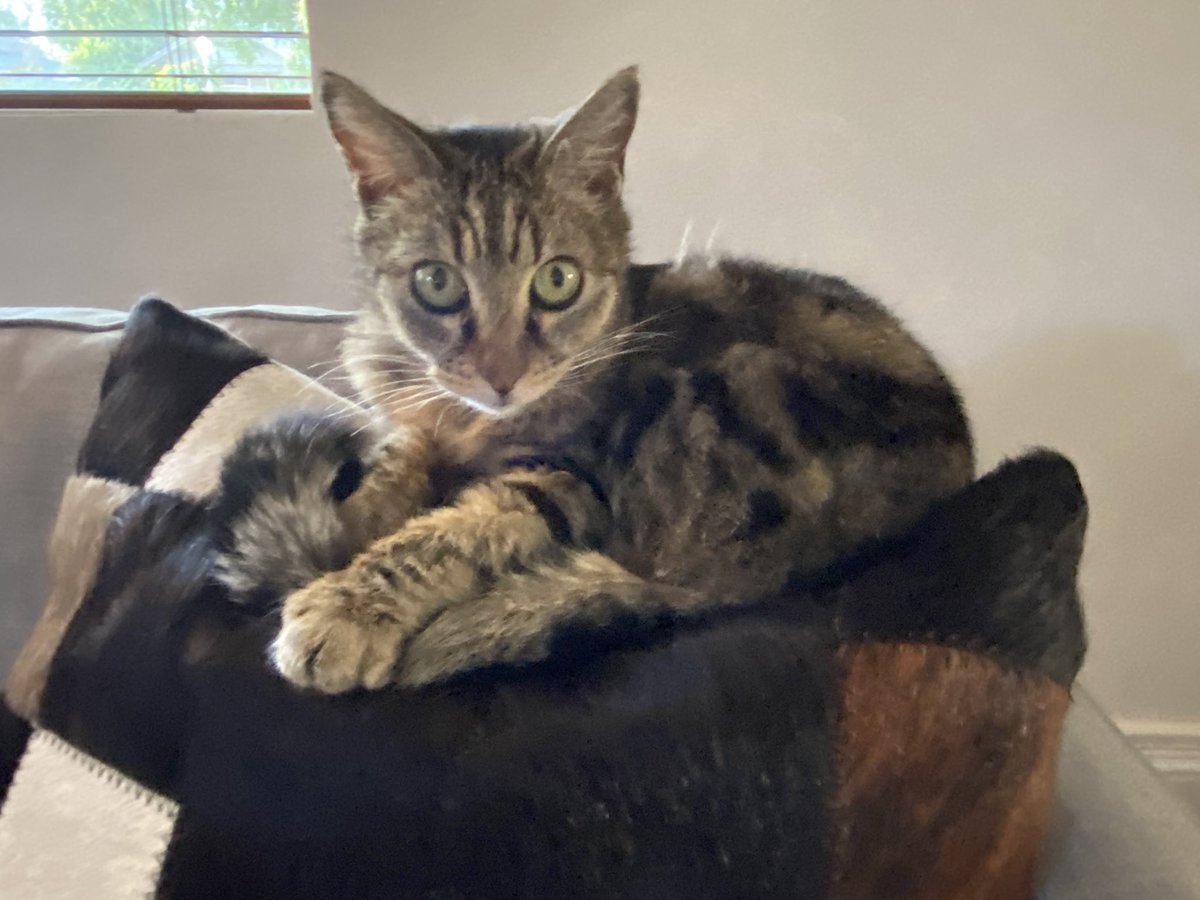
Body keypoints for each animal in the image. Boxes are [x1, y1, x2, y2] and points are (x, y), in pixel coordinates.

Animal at [214, 67, 974, 694]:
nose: (501, 377)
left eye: (557, 280)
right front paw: (361, 516)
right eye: (436, 282)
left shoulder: (569, 478)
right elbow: (397, 464)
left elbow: (453, 531)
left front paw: (347, 602)